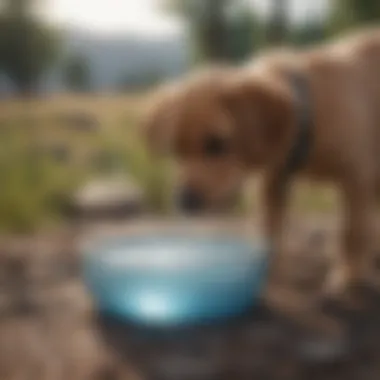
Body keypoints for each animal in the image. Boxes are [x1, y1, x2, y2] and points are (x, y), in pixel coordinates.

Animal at [142, 28, 380, 304]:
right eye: (176, 149)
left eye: (216, 143)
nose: (184, 203)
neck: (309, 115)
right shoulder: (272, 182)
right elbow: (268, 232)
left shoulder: (356, 179)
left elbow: (352, 234)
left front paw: (347, 278)